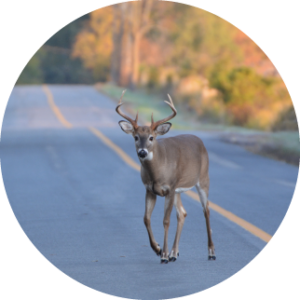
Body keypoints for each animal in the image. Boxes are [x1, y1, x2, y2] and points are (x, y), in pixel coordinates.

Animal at [115, 90, 216, 264]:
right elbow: (146, 218)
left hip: (203, 179)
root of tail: (199, 141)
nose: (142, 152)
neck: (157, 172)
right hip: (178, 190)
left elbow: (166, 220)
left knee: (206, 210)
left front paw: (163, 255)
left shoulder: (169, 187)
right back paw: (175, 253)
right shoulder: (150, 189)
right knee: (182, 213)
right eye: (136, 137)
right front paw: (158, 249)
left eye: (151, 137)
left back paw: (211, 253)